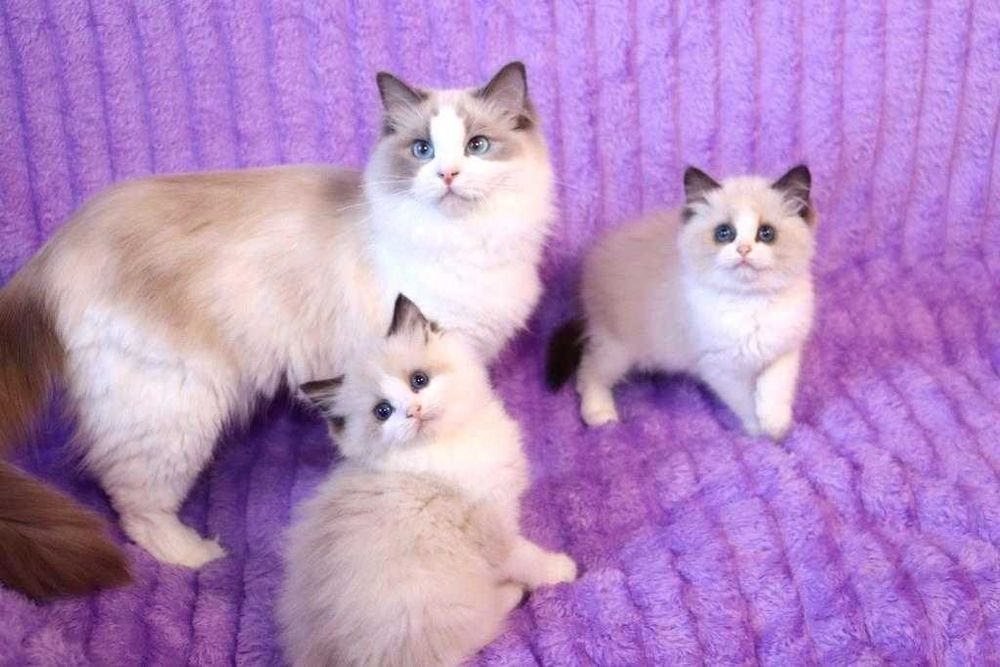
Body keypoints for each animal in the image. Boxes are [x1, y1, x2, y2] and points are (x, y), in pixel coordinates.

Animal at [0, 62, 553, 598]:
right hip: (171, 407)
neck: (462, 245)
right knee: (133, 501)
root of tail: (59, 246)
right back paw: (195, 554)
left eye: (477, 145)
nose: (448, 173)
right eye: (423, 150)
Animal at [279, 295, 577, 667]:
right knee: (473, 631)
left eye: (418, 381)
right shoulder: (493, 532)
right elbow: (528, 558)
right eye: (383, 412)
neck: (447, 446)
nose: (414, 411)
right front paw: (563, 570)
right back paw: (511, 593)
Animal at [547, 165, 816, 440]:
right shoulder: (721, 368)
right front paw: (758, 433)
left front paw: (776, 425)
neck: (750, 302)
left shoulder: (784, 350)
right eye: (724, 233)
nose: (744, 250)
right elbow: (745, 402)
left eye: (766, 233)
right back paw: (600, 415)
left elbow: (775, 389)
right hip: (617, 348)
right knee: (589, 372)